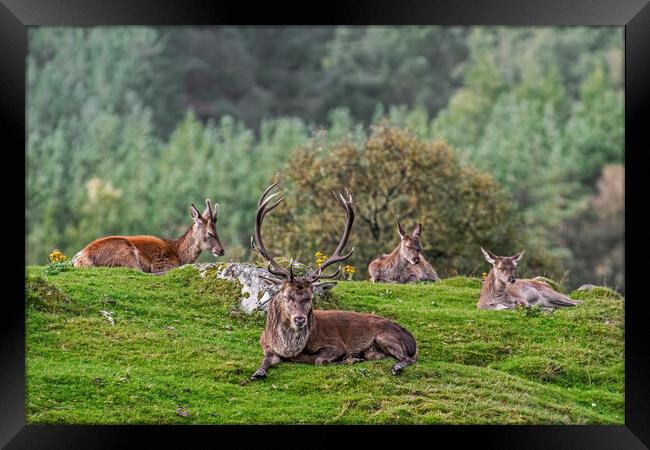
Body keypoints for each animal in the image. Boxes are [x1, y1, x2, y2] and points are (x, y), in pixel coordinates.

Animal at [72, 200, 224, 274]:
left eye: (217, 231)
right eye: (210, 233)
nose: (221, 250)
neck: (179, 255)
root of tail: (82, 258)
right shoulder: (162, 263)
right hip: (126, 252)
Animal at [248, 183, 416, 380]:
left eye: (310, 297)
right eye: (286, 296)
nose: (300, 319)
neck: (288, 350)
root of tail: (412, 341)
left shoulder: (335, 345)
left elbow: (320, 360)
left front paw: (346, 359)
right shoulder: (266, 345)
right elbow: (265, 360)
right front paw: (257, 372)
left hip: (385, 336)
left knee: (408, 358)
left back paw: (390, 366)